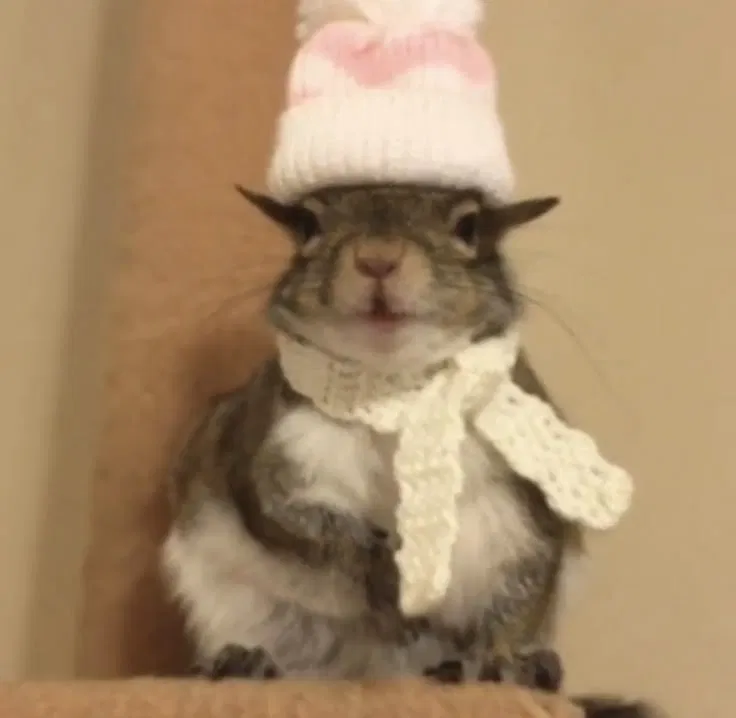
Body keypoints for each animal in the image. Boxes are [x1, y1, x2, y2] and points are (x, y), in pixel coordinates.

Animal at [161, 184, 656, 718]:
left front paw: (504, 660)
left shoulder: (529, 498)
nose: (378, 259)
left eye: (469, 227)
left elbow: (527, 585)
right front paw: (384, 573)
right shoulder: (269, 446)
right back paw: (243, 661)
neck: (394, 390)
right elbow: (291, 521)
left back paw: (523, 669)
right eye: (308, 226)